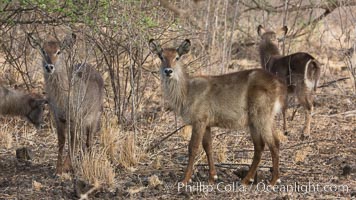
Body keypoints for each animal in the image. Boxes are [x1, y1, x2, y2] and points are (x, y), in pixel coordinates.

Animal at [29, 33, 104, 174]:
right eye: (43, 51)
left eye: (58, 51)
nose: (49, 66)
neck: (62, 98)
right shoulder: (58, 118)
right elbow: (62, 141)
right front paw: (58, 168)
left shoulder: (75, 117)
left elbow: (73, 141)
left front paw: (66, 166)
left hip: (94, 116)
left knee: (88, 140)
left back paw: (88, 160)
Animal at [149, 38, 288, 186]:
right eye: (161, 56)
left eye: (177, 57)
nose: (168, 71)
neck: (186, 92)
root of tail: (279, 84)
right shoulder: (207, 124)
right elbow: (208, 147)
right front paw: (212, 177)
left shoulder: (199, 121)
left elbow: (193, 148)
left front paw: (185, 179)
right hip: (259, 121)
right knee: (261, 146)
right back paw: (246, 179)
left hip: (261, 117)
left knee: (273, 144)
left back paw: (273, 180)